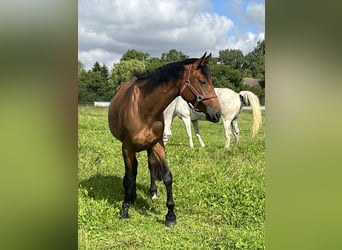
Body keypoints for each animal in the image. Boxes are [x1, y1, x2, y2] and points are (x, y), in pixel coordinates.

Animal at [107, 52, 222, 227]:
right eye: (202, 81)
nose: (217, 113)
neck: (142, 107)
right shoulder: (126, 147)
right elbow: (128, 178)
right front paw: (125, 210)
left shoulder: (157, 144)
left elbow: (167, 176)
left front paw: (170, 215)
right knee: (134, 170)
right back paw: (132, 197)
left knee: (149, 165)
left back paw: (151, 192)